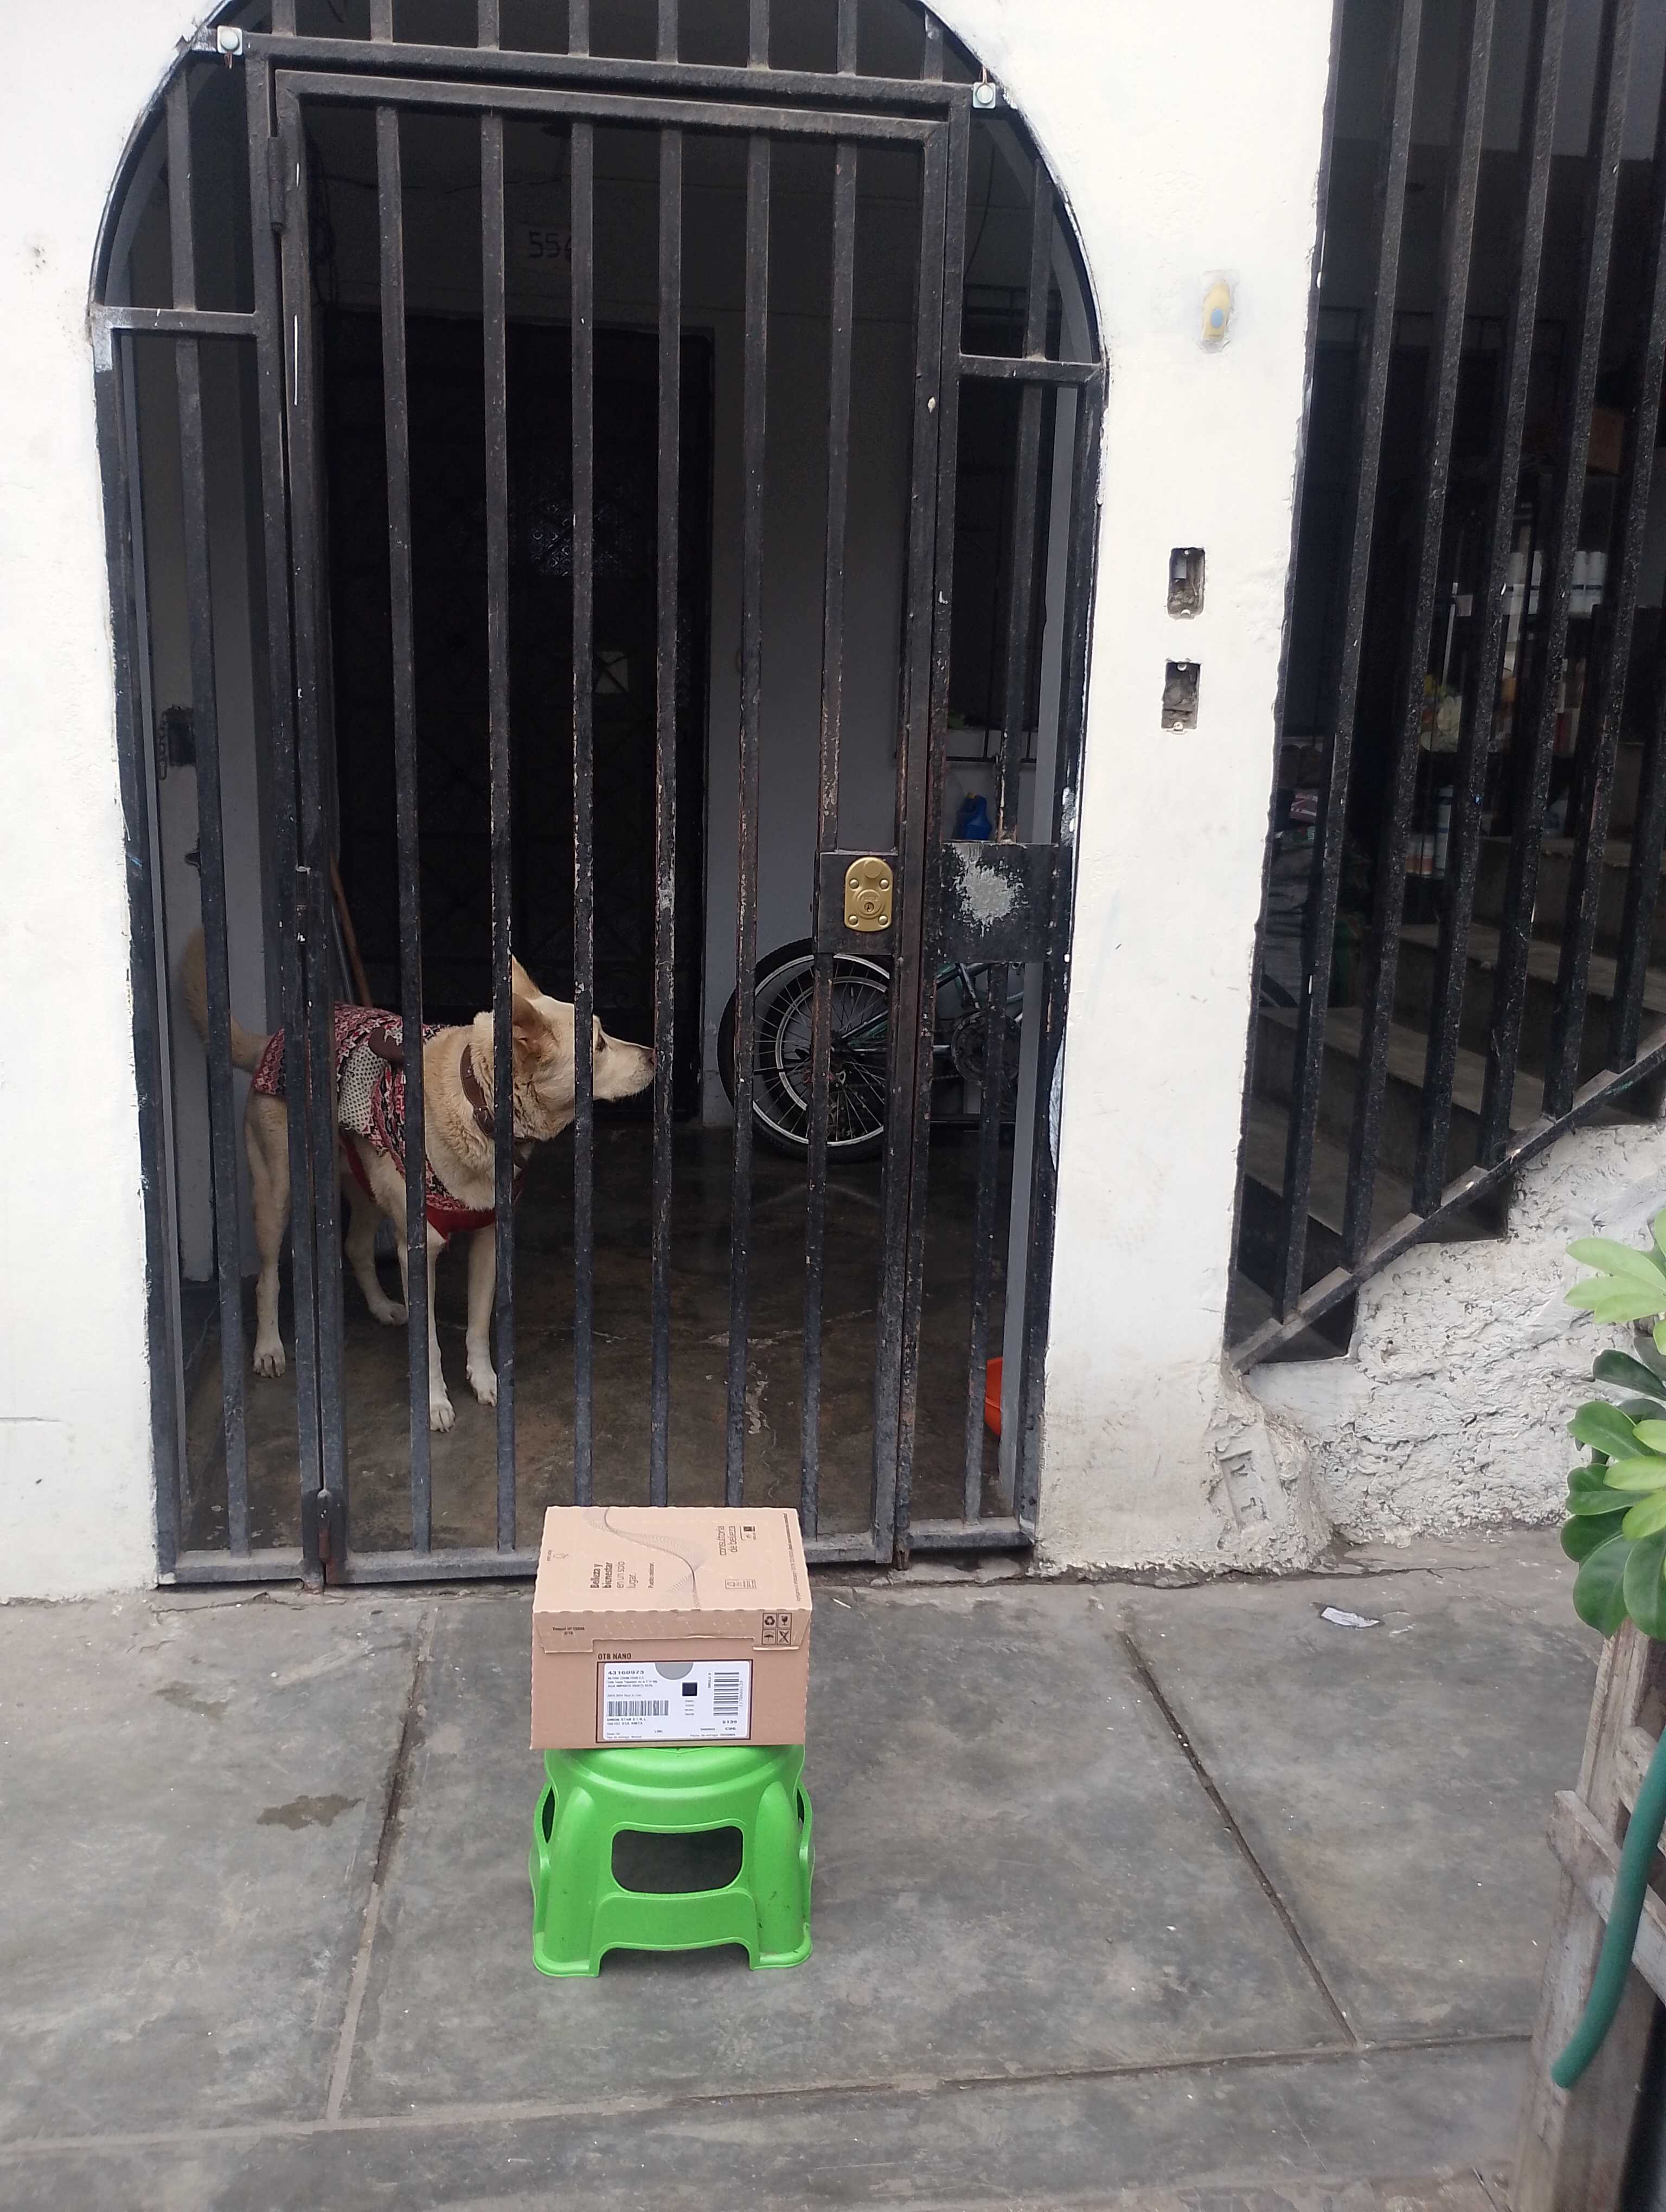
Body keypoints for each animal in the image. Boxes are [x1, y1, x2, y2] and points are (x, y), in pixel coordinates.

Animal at [180, 932, 653, 1431]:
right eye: (598, 1045)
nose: (655, 1055)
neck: (479, 1104)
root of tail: (276, 1037)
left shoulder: (488, 1238)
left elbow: (478, 1327)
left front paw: (485, 1381)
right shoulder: (418, 1251)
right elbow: (429, 1346)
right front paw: (434, 1403)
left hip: (365, 1189)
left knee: (356, 1246)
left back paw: (383, 1307)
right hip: (278, 1194)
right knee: (268, 1276)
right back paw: (269, 1348)